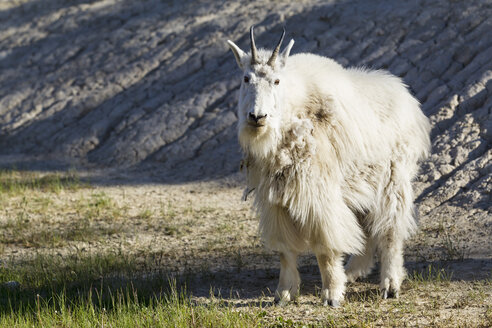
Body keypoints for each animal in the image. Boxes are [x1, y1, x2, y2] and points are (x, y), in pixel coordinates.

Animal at [227, 26, 430, 306]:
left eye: (277, 81)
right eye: (246, 78)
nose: (257, 117)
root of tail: (408, 99)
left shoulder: (318, 196)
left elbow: (325, 248)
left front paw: (332, 295)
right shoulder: (275, 199)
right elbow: (284, 250)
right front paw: (284, 293)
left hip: (393, 179)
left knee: (390, 230)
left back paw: (390, 285)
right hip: (359, 184)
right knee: (365, 228)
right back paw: (353, 272)